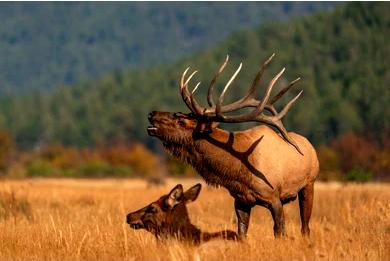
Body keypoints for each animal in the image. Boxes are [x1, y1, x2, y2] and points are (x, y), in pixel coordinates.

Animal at [147, 53, 320, 238]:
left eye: (181, 122)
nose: (151, 114)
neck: (237, 173)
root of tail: (311, 147)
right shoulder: (241, 201)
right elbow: (241, 233)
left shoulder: (274, 197)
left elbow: (280, 230)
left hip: (309, 183)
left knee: (305, 226)